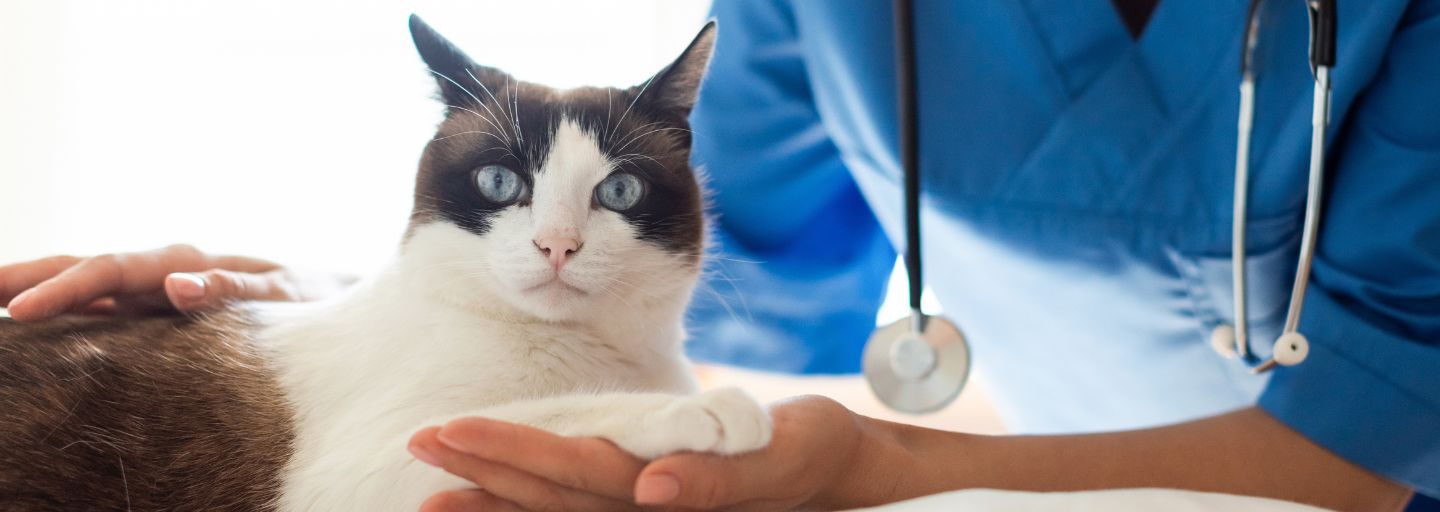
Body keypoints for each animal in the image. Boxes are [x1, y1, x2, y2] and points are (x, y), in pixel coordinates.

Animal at [0, 16, 771, 512]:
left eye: (619, 192)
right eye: (499, 183)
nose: (557, 245)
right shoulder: (369, 469)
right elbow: (545, 414)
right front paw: (710, 411)